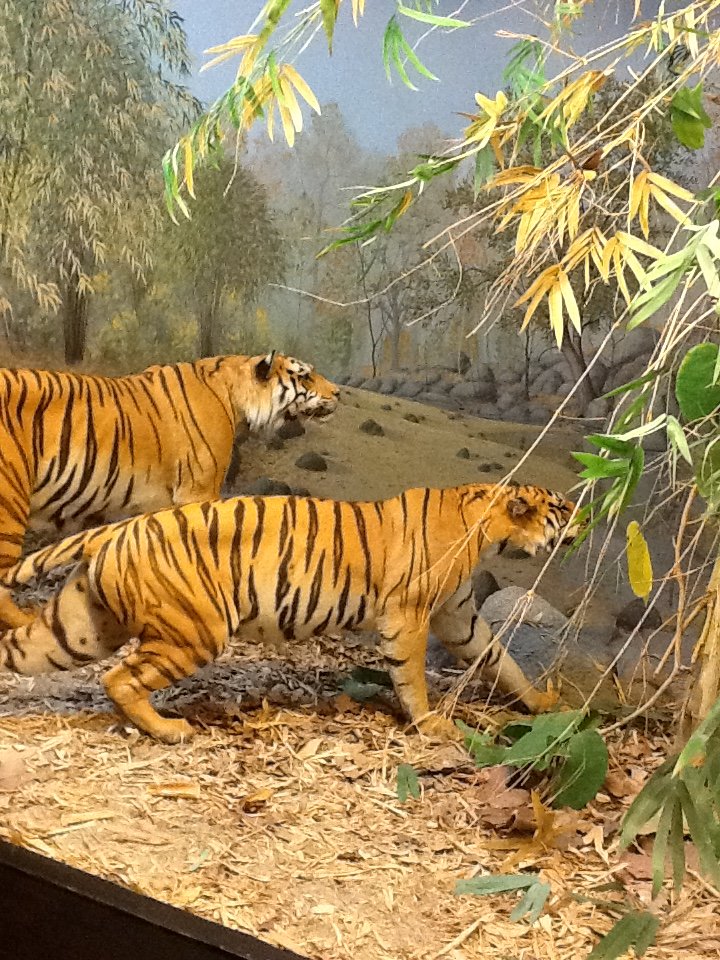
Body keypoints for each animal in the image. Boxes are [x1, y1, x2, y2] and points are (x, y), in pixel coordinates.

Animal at [0, 483, 582, 743]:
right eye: (560, 507)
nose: (585, 516)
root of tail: (118, 529)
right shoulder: (409, 616)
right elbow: (413, 675)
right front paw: (431, 724)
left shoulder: (459, 617)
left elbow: (501, 660)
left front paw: (541, 702)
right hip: (195, 632)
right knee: (120, 678)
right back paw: (169, 730)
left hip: (81, 628)